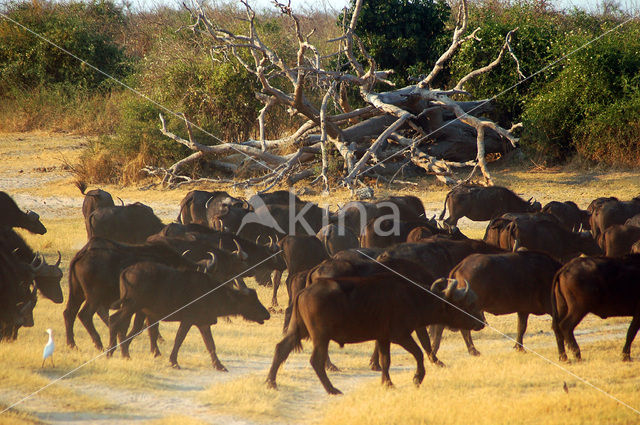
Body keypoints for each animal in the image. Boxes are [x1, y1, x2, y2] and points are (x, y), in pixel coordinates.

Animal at [268, 274, 482, 392]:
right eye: (466, 305)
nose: (480, 323)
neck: (413, 298)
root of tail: (304, 291)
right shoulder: (401, 335)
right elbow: (419, 354)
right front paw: (417, 378)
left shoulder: (383, 338)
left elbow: (385, 361)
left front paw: (387, 383)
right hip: (321, 337)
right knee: (316, 361)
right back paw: (332, 389)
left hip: (297, 330)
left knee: (281, 349)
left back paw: (271, 382)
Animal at [432, 250, 564, 356]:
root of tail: (460, 266)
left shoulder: (523, 310)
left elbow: (521, 327)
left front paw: (519, 347)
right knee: (463, 329)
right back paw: (472, 350)